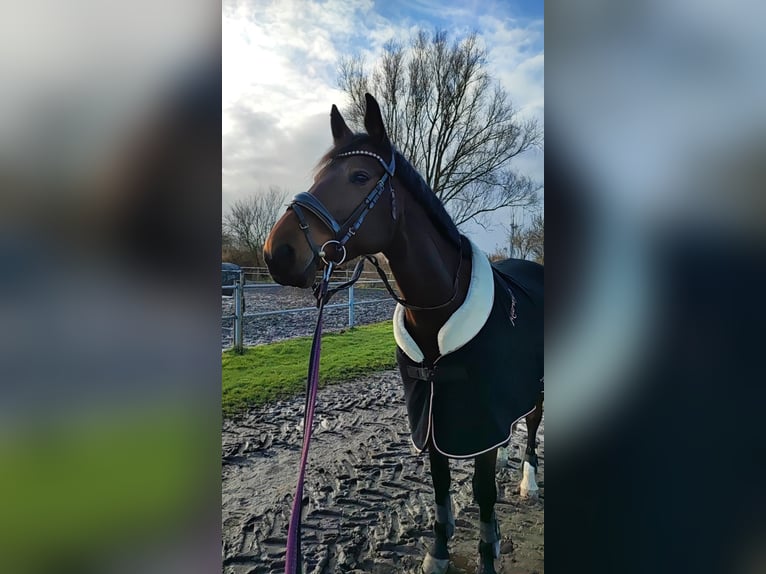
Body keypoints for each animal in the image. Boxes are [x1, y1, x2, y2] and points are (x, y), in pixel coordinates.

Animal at [263, 93, 543, 574]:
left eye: (359, 176)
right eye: (317, 176)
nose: (276, 252)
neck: (437, 312)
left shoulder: (473, 415)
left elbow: (484, 495)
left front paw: (487, 553)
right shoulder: (432, 414)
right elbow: (440, 485)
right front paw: (438, 553)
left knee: (532, 424)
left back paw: (529, 481)